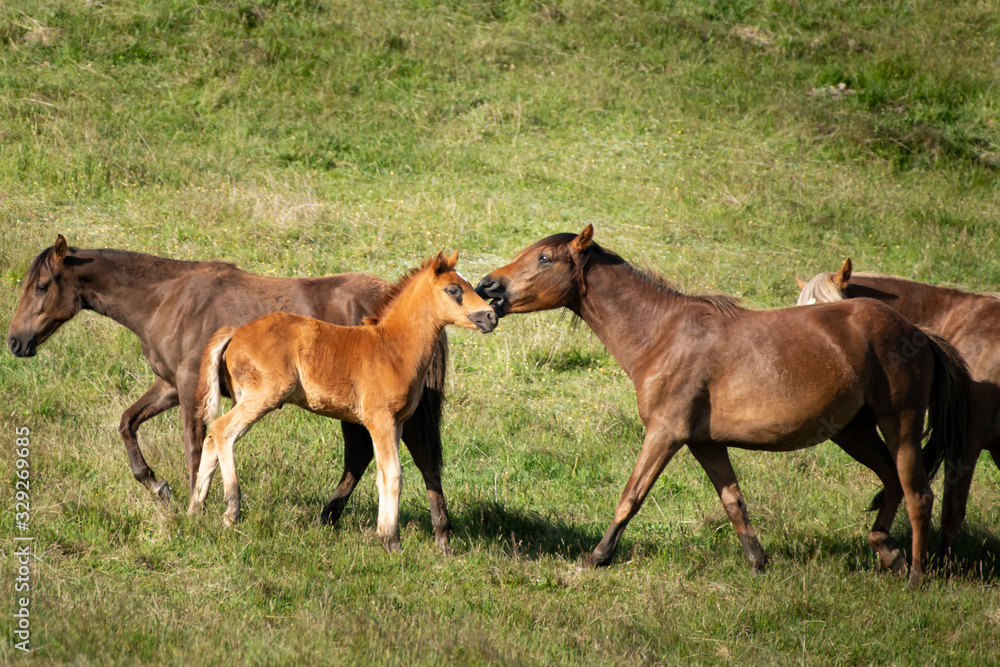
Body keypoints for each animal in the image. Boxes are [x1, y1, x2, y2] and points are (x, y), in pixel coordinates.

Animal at [7, 235, 457, 550]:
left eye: (42, 286)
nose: (15, 342)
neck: (166, 300)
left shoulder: (189, 387)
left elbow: (193, 446)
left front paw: (197, 506)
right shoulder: (169, 386)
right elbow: (127, 423)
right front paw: (158, 486)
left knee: (403, 457)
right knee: (385, 458)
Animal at [189, 251, 497, 551]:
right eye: (454, 289)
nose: (490, 316)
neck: (392, 349)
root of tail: (236, 332)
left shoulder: (395, 423)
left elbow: (382, 475)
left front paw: (384, 535)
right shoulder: (379, 419)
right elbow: (394, 475)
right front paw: (392, 542)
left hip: (244, 397)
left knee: (211, 439)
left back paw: (195, 509)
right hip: (264, 396)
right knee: (222, 431)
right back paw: (231, 509)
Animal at [476, 225, 971, 588]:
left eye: (544, 258)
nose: (487, 285)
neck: (663, 334)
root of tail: (919, 333)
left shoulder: (665, 434)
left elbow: (630, 497)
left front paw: (595, 558)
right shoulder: (705, 444)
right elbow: (733, 501)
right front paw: (757, 563)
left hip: (900, 424)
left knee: (918, 494)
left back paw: (915, 576)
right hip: (854, 431)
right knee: (891, 482)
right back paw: (885, 550)